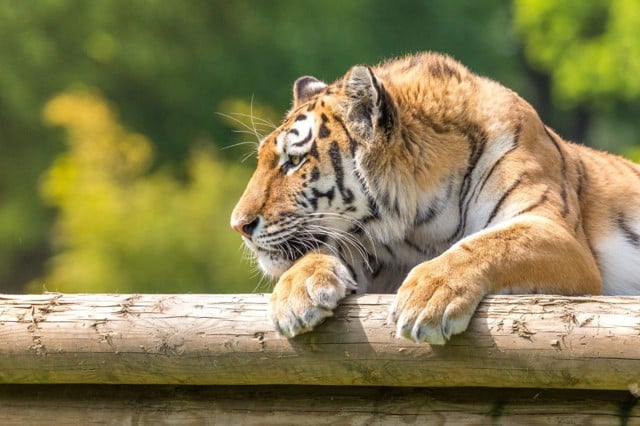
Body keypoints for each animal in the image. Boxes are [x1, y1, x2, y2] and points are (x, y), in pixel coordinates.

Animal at [229, 51, 640, 344]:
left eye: (294, 162)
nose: (239, 226)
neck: (419, 226)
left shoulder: (557, 231)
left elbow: (490, 243)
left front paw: (428, 296)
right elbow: (319, 253)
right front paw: (296, 294)